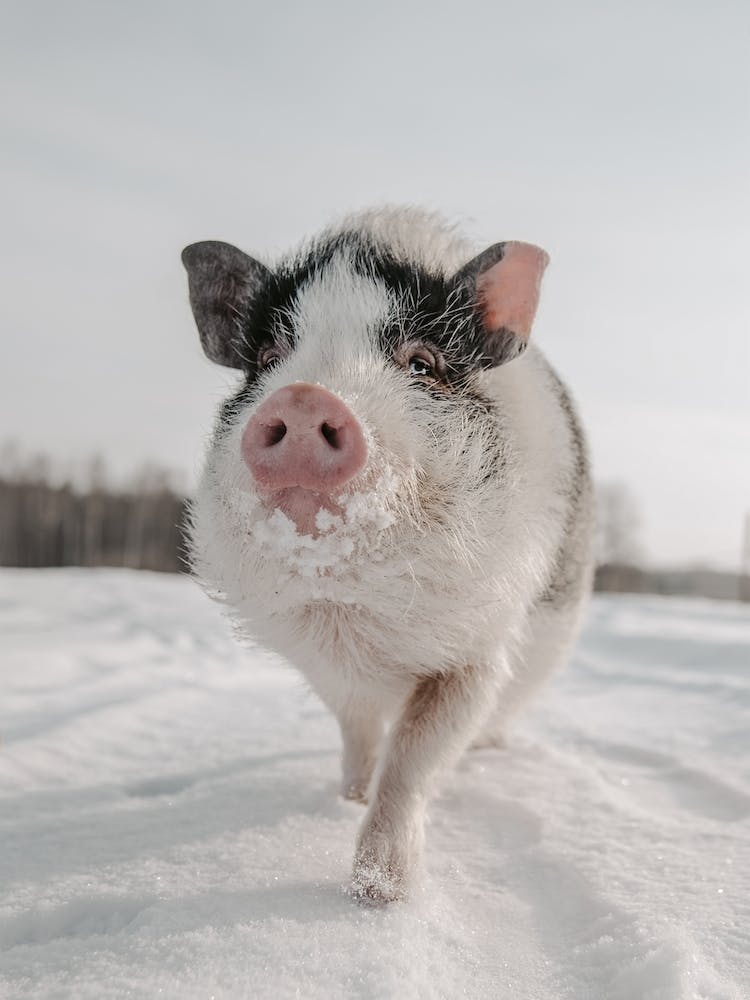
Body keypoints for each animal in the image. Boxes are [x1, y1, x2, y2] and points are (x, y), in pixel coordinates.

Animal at [181, 206, 594, 903]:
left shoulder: (475, 652)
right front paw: (347, 799)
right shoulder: (322, 661)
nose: (303, 397)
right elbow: (358, 732)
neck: (357, 607)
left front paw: (378, 895)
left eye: (422, 363)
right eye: (267, 358)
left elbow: (414, 760)